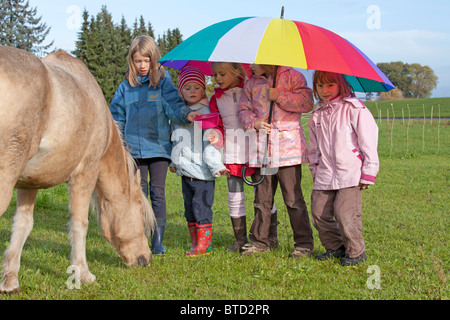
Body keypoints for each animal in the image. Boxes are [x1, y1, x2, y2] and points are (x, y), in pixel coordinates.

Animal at [0, 46, 156, 294]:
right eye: (141, 214)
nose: (145, 259)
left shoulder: (30, 182)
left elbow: (23, 224)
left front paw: (10, 280)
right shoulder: (85, 173)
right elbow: (80, 223)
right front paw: (82, 273)